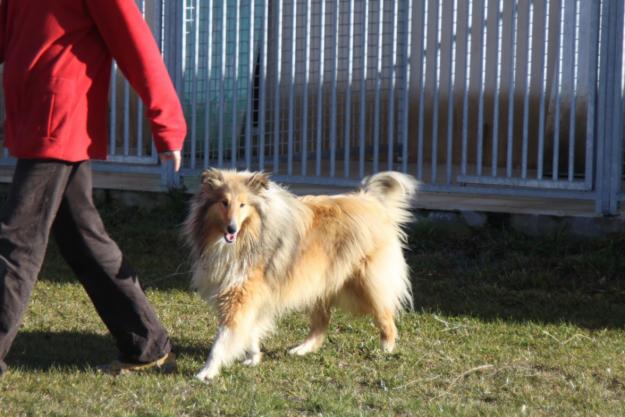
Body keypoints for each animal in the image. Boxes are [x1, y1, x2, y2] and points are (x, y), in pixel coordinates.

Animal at [183, 168, 416, 380]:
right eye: (224, 202)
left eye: (243, 204)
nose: (231, 228)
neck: (249, 235)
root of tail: (370, 200)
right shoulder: (251, 296)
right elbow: (249, 330)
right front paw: (254, 357)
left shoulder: (239, 295)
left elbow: (222, 340)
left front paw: (206, 372)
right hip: (319, 284)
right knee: (321, 324)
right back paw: (302, 349)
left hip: (367, 283)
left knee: (385, 314)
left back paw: (386, 348)